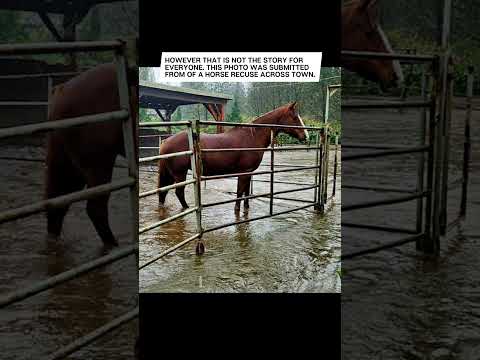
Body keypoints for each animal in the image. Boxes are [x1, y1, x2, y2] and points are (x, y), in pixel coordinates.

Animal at [158, 102, 308, 211]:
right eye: (295, 117)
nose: (305, 136)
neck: (251, 136)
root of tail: (165, 141)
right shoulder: (244, 172)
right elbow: (240, 192)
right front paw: (237, 210)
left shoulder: (249, 172)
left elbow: (246, 192)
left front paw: (246, 208)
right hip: (179, 174)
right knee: (178, 192)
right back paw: (187, 208)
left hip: (171, 174)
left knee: (164, 191)